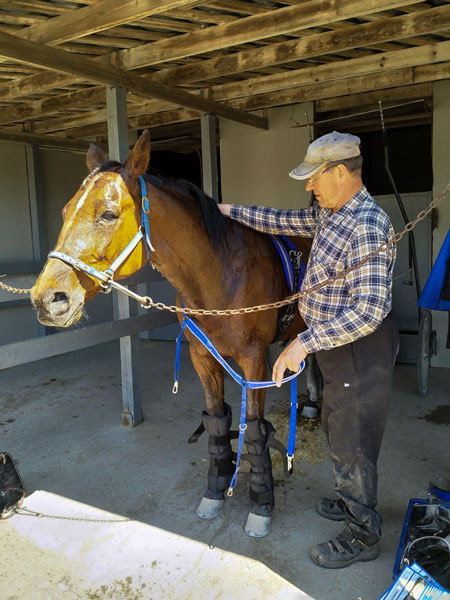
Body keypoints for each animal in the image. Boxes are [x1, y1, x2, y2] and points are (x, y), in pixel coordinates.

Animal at [30, 131, 312, 540]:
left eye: (108, 214)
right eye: (66, 211)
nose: (47, 298)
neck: (220, 276)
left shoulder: (254, 360)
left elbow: (255, 430)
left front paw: (260, 505)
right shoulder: (202, 357)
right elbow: (217, 420)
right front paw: (215, 491)